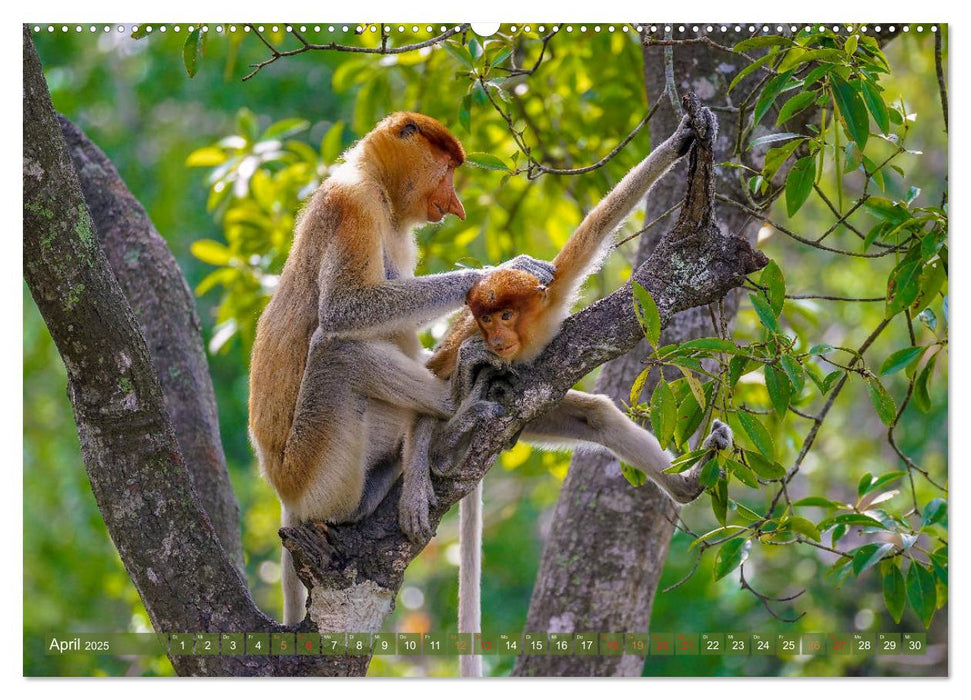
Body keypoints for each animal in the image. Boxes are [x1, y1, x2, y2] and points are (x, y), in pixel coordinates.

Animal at [251, 112, 552, 628]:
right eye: (447, 169)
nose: (455, 205)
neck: (374, 183)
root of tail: (284, 494)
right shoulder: (351, 208)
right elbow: (346, 309)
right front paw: (499, 272)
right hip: (317, 472)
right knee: (338, 350)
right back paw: (456, 404)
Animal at [408, 112, 728, 676]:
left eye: (504, 314)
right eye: (485, 318)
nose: (494, 339)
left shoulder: (552, 289)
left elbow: (599, 224)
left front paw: (683, 140)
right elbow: (433, 373)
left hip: (538, 417)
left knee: (596, 415)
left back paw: (687, 485)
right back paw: (448, 447)